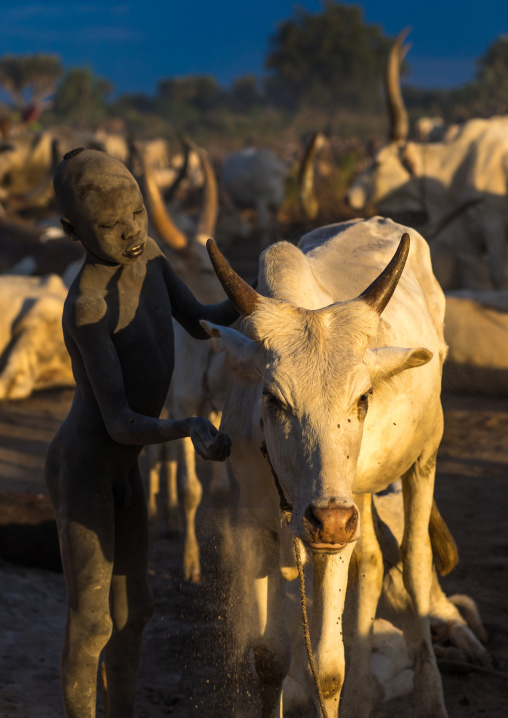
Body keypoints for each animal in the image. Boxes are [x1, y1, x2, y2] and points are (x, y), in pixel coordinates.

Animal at [200, 216, 451, 717]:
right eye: (273, 398)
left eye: (363, 397)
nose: (328, 519)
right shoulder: (255, 525)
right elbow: (269, 656)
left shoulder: (332, 540)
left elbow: (328, 668)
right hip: (359, 497)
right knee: (372, 558)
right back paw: (363, 697)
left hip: (422, 459)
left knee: (414, 560)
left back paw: (431, 696)